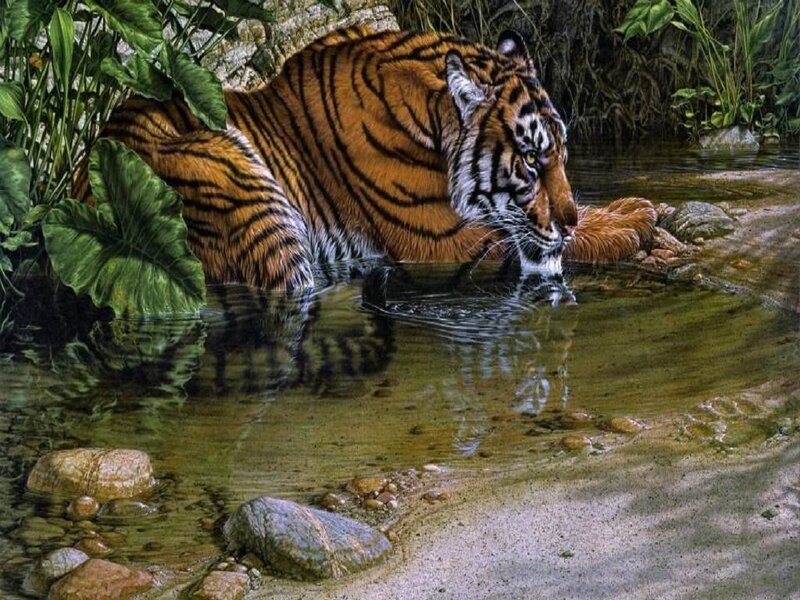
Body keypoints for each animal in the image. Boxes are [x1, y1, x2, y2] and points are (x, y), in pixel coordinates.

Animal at [76, 26, 656, 291]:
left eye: (563, 156)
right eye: (533, 162)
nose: (568, 219)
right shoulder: (443, 242)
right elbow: (542, 242)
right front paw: (631, 220)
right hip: (243, 190)